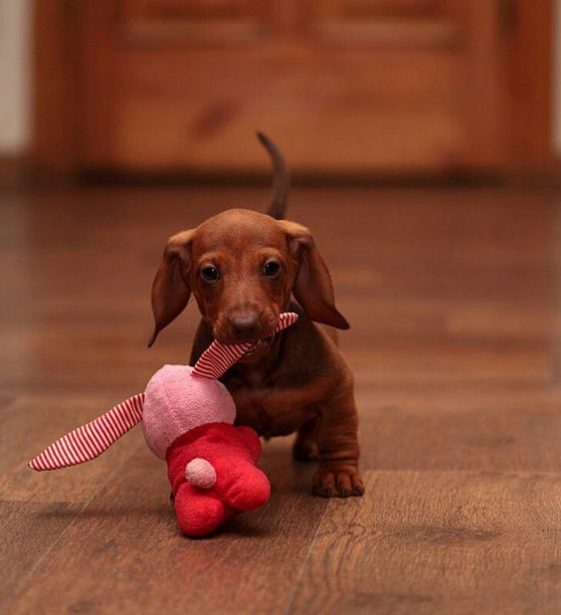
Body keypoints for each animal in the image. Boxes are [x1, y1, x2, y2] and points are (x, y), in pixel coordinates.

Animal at [148, 132, 364, 498]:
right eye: (209, 272)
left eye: (272, 267)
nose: (245, 326)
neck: (259, 370)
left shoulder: (337, 388)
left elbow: (338, 433)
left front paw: (338, 473)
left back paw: (310, 446)